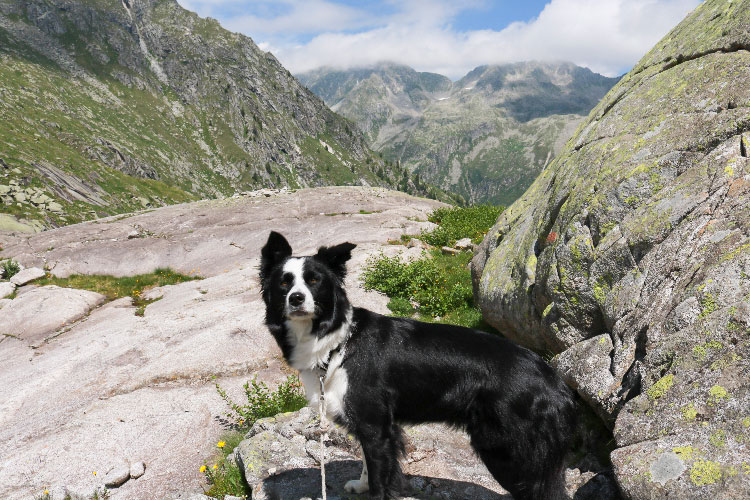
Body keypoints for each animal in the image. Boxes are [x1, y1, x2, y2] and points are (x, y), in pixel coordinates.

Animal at [262, 232, 580, 498]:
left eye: (314, 281)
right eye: (284, 283)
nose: (296, 299)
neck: (337, 343)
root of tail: (556, 381)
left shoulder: (375, 425)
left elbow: (379, 476)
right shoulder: (371, 424)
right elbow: (365, 461)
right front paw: (360, 485)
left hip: (506, 449)